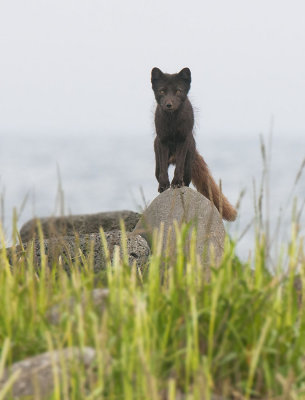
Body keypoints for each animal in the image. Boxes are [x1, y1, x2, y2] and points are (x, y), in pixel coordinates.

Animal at [151, 66, 236, 222]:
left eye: (178, 91)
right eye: (162, 91)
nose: (169, 105)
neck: (172, 122)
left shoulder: (183, 139)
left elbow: (178, 166)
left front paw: (176, 183)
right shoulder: (162, 140)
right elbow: (164, 171)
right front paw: (164, 185)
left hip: (188, 167)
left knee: (186, 179)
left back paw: (182, 184)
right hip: (157, 164)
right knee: (160, 170)